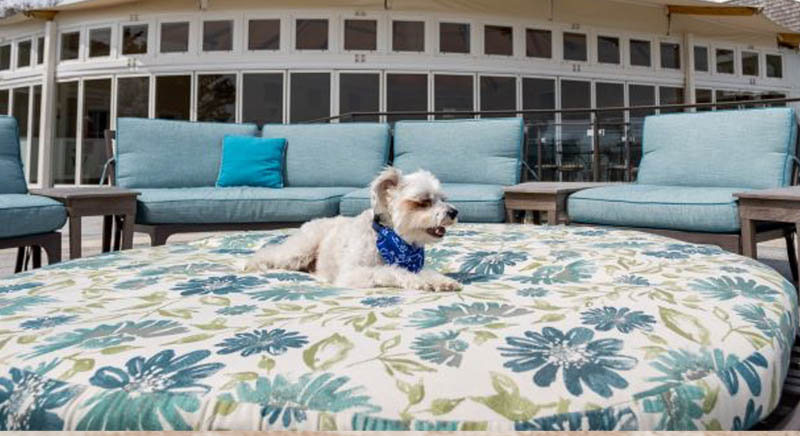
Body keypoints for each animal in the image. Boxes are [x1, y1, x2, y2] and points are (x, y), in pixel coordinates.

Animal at [248, 167, 462, 292]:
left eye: (443, 198)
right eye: (424, 201)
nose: (454, 212)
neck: (393, 240)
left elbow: (427, 272)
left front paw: (441, 281)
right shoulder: (352, 274)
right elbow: (392, 271)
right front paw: (421, 281)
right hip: (300, 250)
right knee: (270, 252)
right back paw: (250, 264)